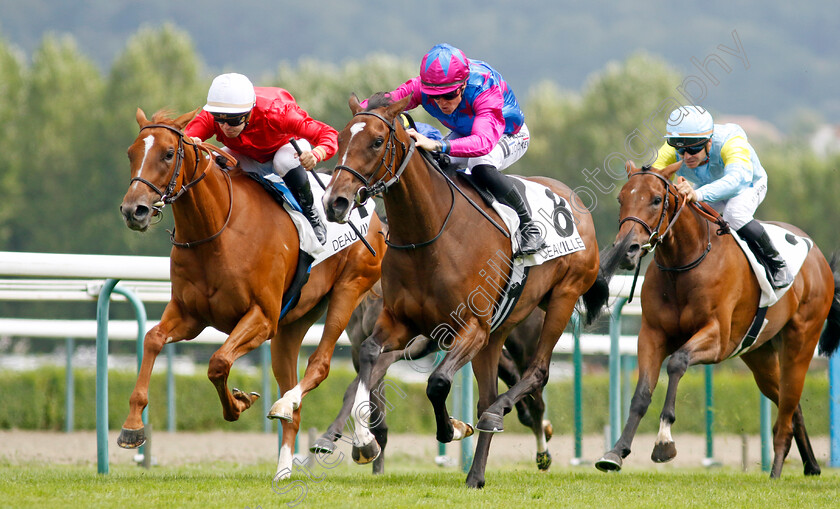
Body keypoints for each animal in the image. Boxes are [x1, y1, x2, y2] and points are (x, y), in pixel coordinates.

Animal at [117, 108, 384, 480]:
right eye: (131, 153)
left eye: (168, 154)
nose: (134, 210)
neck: (219, 229)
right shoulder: (189, 314)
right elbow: (152, 339)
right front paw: (132, 427)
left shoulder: (261, 317)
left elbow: (218, 362)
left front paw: (239, 403)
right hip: (292, 325)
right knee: (295, 407)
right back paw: (283, 468)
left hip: (349, 289)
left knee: (323, 365)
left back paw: (358, 438)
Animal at [312, 278, 556, 472]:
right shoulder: (359, 350)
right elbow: (374, 412)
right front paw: (373, 460)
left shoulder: (395, 351)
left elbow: (353, 390)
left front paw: (329, 438)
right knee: (511, 374)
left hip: (522, 343)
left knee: (535, 395)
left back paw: (542, 452)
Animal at [592, 160, 836, 476]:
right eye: (621, 199)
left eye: (657, 199)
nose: (627, 249)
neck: (684, 262)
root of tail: (817, 255)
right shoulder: (652, 335)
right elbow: (641, 393)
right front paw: (616, 452)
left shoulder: (717, 338)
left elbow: (677, 362)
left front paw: (664, 441)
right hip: (760, 356)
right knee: (791, 405)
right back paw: (811, 466)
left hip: (801, 342)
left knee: (788, 407)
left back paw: (776, 471)